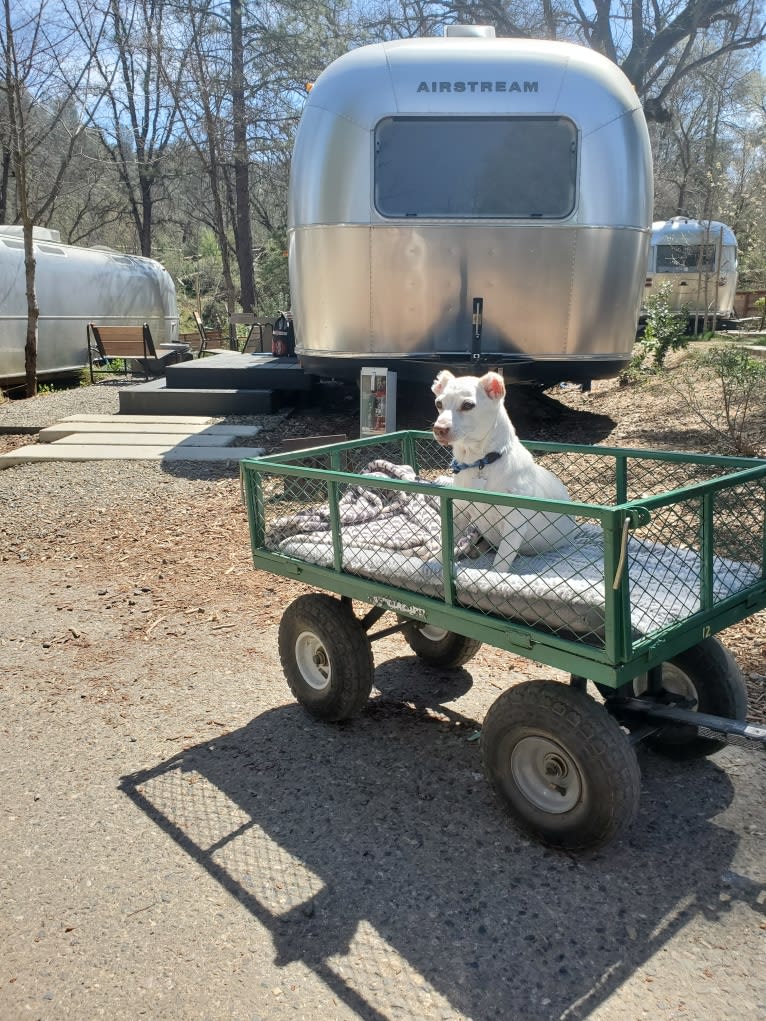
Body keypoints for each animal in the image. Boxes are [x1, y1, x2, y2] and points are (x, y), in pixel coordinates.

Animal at [433, 369, 576, 575]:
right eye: (439, 404)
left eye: (468, 405)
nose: (438, 429)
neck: (479, 462)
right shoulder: (459, 514)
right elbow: (444, 545)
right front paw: (434, 563)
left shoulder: (513, 527)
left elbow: (500, 565)